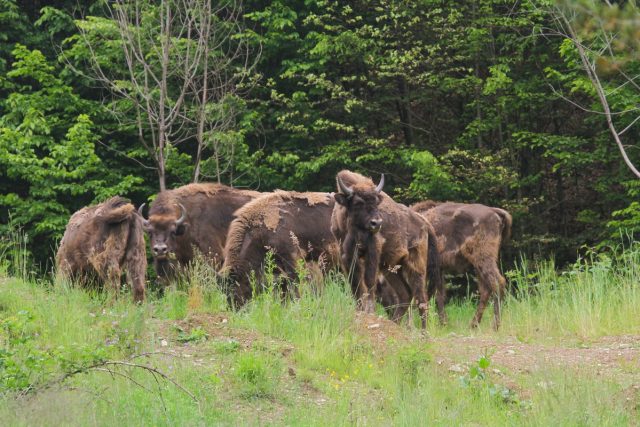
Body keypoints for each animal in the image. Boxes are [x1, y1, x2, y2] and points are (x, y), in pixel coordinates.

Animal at [332, 170, 432, 328]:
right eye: (358, 203)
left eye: (376, 202)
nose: (377, 223)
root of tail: (423, 221)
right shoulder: (347, 256)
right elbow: (356, 285)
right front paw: (359, 311)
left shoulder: (373, 252)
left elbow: (369, 281)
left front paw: (369, 312)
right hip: (391, 268)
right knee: (405, 294)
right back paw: (394, 323)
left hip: (416, 265)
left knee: (421, 298)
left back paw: (423, 332)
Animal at [412, 201, 512, 332]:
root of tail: (494, 212)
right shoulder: (438, 269)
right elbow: (439, 295)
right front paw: (443, 324)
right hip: (478, 265)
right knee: (486, 289)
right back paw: (473, 325)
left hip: (483, 259)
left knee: (497, 284)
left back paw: (494, 326)